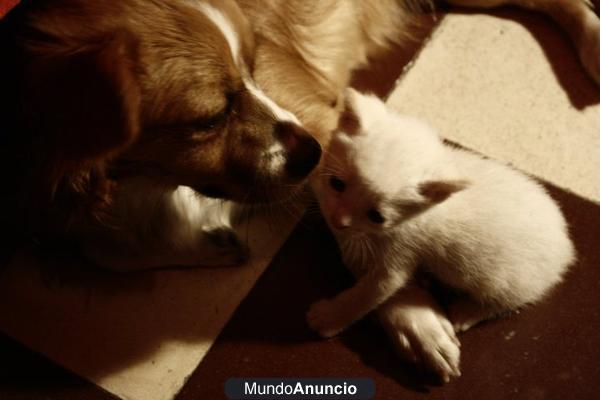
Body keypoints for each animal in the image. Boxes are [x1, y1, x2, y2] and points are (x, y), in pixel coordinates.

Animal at [310, 90, 576, 360]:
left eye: (377, 216)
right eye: (336, 184)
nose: (338, 221)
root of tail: (566, 247)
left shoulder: (399, 253)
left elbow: (372, 292)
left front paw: (327, 318)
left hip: (509, 279)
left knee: (508, 300)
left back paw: (467, 312)